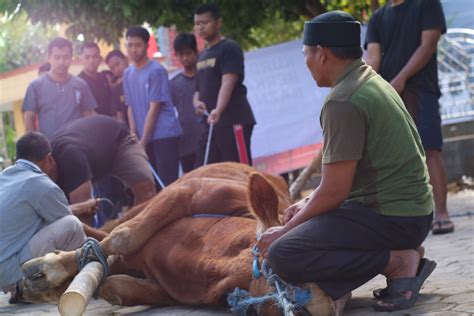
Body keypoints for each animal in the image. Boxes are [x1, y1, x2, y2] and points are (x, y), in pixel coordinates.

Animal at [20, 163, 336, 314]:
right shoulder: (189, 191)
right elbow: (123, 237)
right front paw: (50, 268)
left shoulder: (171, 288)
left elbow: (113, 285)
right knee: (111, 227)